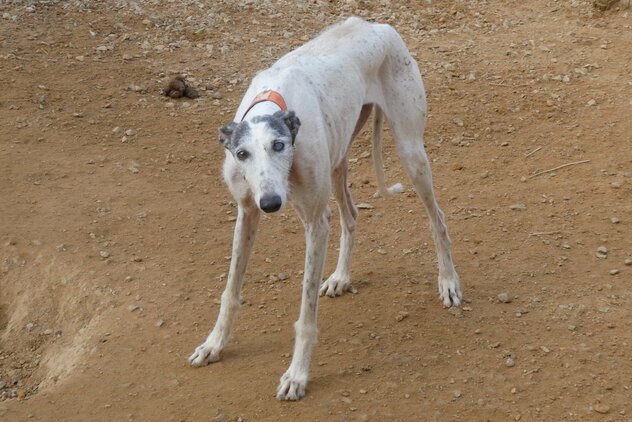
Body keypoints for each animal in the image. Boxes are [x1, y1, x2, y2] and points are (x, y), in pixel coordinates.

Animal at [190, 17, 462, 398]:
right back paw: (341, 277)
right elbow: (230, 289)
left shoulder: (315, 224)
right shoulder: (246, 212)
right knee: (351, 216)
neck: (273, 101)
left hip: (411, 152)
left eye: (279, 145)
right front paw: (214, 344)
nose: (272, 203)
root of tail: (377, 24)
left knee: (437, 219)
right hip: (338, 159)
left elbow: (306, 315)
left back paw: (448, 282)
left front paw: (297, 375)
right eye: (242, 153)